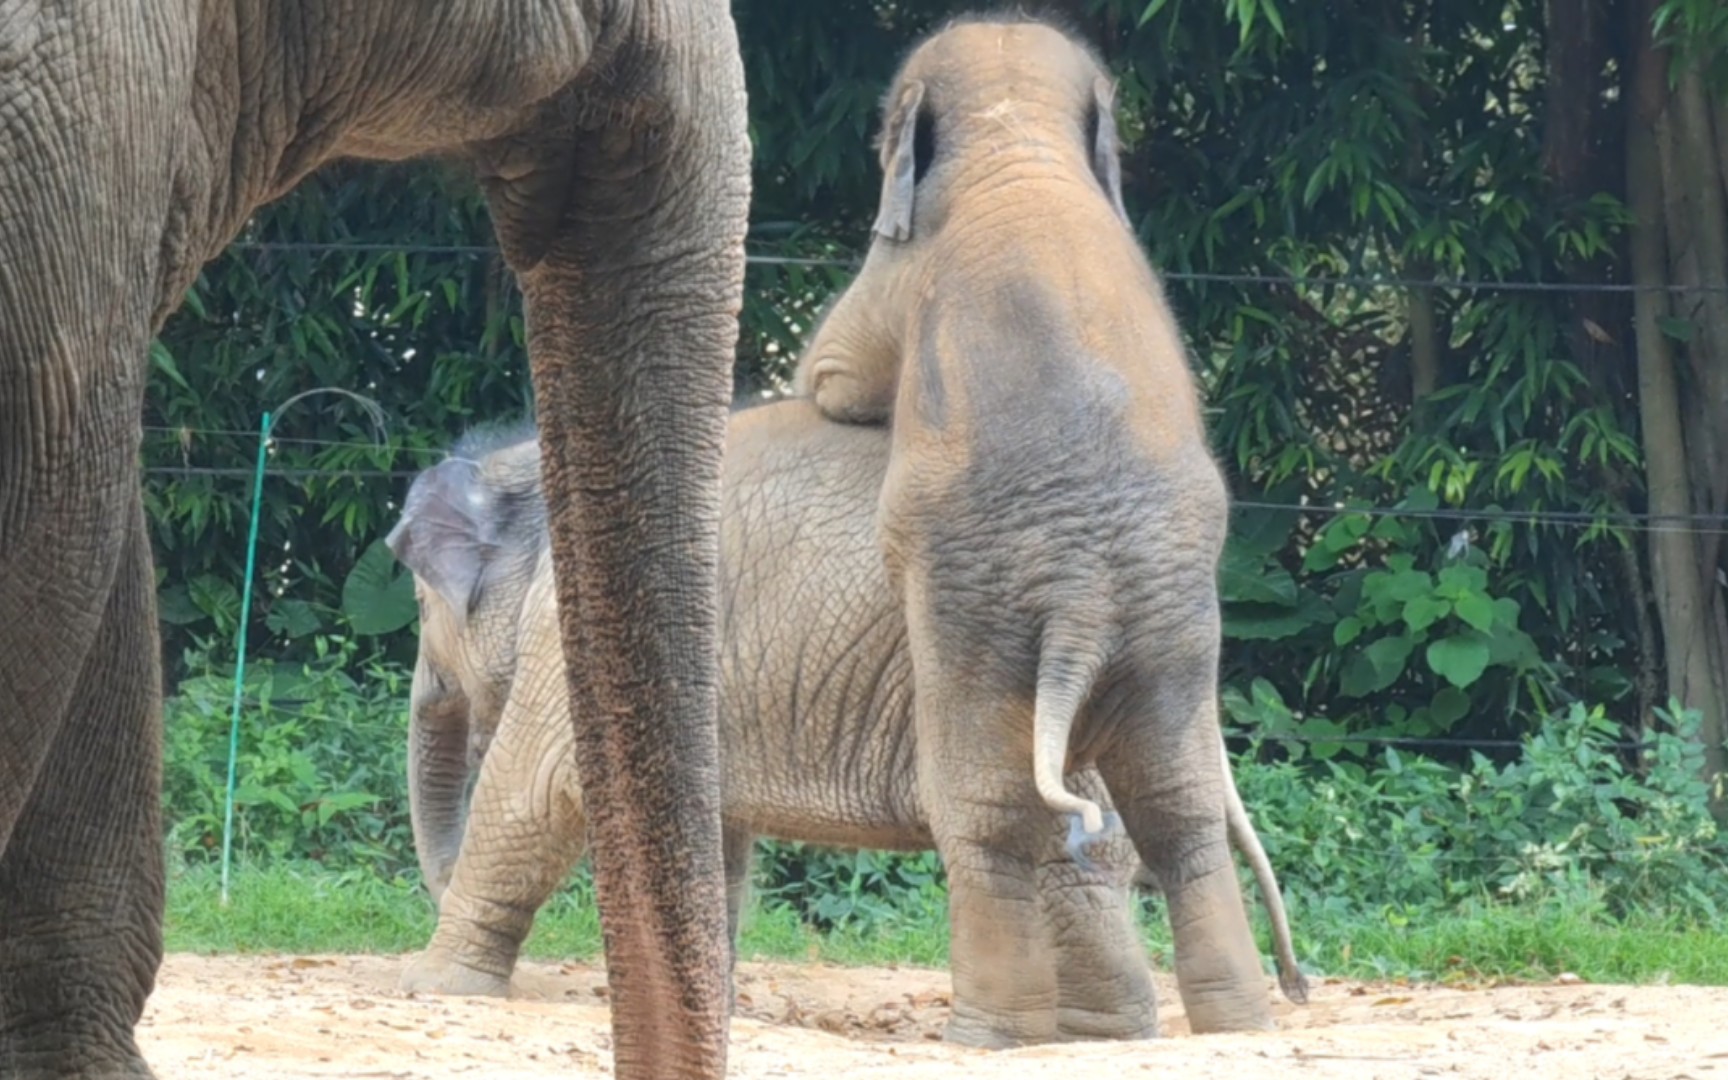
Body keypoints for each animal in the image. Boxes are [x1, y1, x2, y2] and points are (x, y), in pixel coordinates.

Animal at [385, 393, 1299, 1036]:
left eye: (423, 602)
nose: (1301, 985)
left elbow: (537, 787)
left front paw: (435, 990)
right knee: (1090, 844)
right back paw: (1098, 1037)